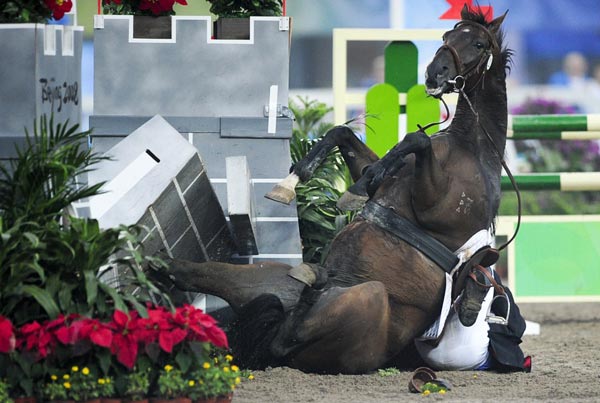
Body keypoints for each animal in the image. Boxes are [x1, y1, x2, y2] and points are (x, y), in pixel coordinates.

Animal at [164, 7, 510, 376]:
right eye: (447, 36)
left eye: (478, 43)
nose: (435, 73)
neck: (470, 147)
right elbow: (345, 135)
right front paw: (297, 183)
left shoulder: (441, 210)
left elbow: (416, 140)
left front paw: (358, 184)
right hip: (264, 277)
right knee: (195, 276)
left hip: (368, 296)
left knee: (282, 340)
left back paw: (312, 285)